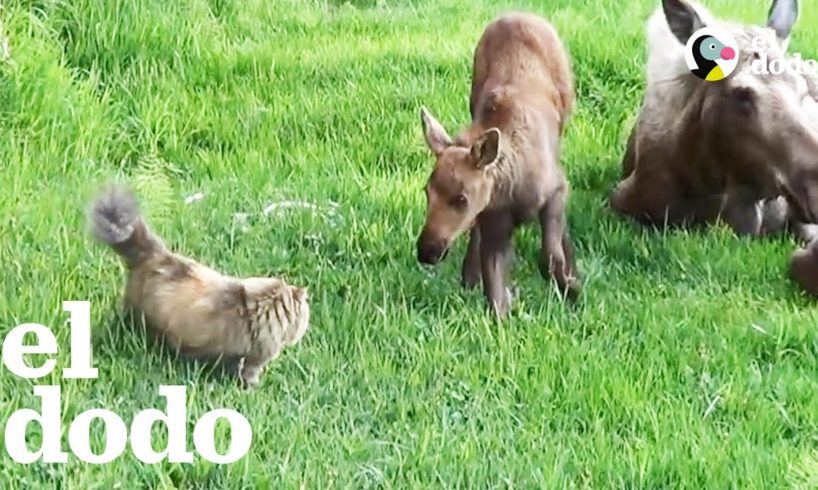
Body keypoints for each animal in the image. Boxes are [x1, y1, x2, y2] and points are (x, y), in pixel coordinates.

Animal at [414, 12, 580, 318]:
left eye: (461, 198)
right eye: (426, 192)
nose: (427, 251)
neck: (509, 189)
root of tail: (517, 14)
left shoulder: (557, 188)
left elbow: (549, 257)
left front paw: (571, 287)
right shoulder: (493, 222)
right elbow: (494, 296)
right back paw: (469, 274)